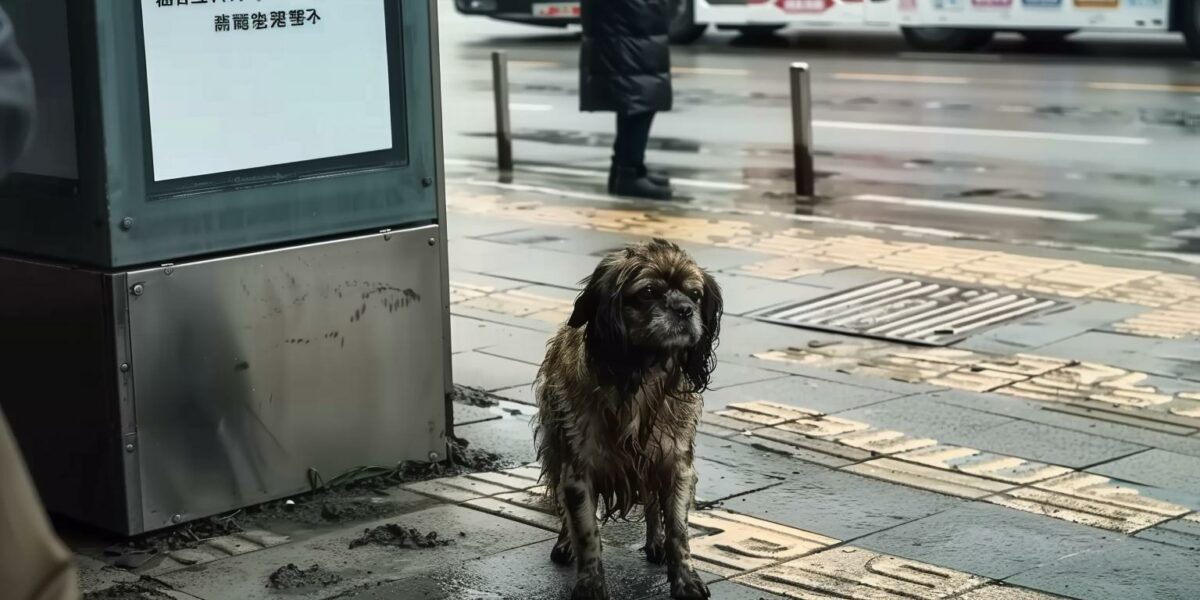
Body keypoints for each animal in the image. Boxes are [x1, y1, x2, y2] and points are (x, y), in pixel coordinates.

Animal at [535, 238, 720, 600]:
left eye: (695, 295)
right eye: (648, 292)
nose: (684, 310)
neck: (642, 373)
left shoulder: (675, 464)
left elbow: (678, 530)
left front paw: (686, 579)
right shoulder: (579, 472)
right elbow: (586, 530)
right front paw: (590, 583)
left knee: (651, 505)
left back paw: (654, 542)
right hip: (556, 446)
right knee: (564, 505)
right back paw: (565, 543)